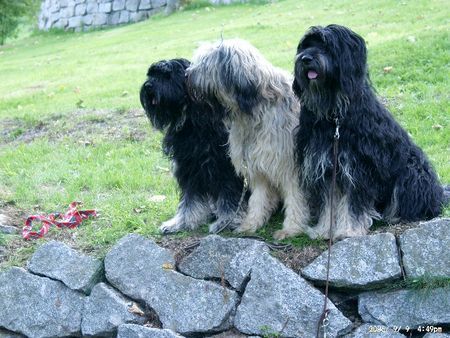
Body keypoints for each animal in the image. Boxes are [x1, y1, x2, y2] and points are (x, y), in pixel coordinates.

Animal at [140, 58, 246, 235]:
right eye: (151, 74)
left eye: (167, 76)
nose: (148, 86)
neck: (193, 123)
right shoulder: (189, 169)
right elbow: (189, 201)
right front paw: (180, 222)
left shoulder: (226, 169)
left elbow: (230, 198)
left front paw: (227, 221)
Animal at [187, 39, 316, 240]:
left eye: (206, 64)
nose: (187, 75)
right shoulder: (256, 164)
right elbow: (258, 198)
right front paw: (251, 224)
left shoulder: (291, 165)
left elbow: (296, 197)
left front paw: (291, 228)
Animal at [294, 23, 444, 240]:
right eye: (306, 45)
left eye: (326, 46)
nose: (305, 59)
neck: (334, 114)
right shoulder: (324, 165)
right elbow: (328, 204)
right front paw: (323, 230)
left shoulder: (358, 167)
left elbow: (352, 204)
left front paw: (348, 231)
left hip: (411, 170)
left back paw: (395, 216)